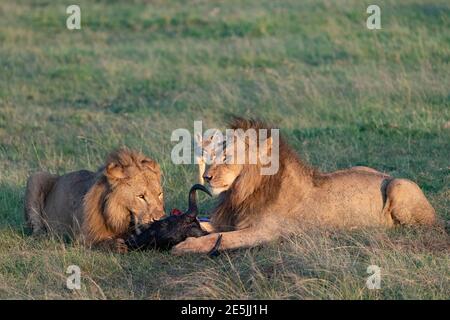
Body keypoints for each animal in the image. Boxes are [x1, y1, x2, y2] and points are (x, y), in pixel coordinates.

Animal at [23, 148, 164, 250]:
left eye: (159, 194)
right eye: (141, 196)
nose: (159, 219)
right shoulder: (82, 237)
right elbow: (99, 242)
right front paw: (117, 245)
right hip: (36, 177)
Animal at [171, 118, 436, 255]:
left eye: (227, 157)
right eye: (211, 157)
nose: (206, 177)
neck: (243, 191)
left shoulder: (264, 232)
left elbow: (220, 239)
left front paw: (184, 245)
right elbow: (208, 228)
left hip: (399, 186)